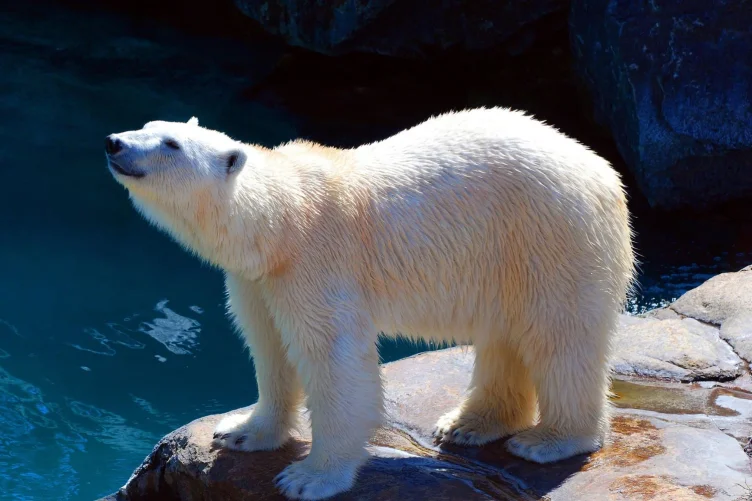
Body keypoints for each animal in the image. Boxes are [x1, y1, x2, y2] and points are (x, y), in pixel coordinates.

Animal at [105, 108, 635, 501]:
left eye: (171, 145)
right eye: (148, 126)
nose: (114, 142)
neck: (281, 221)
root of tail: (604, 172)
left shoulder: (317, 264)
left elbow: (334, 361)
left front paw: (309, 477)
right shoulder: (259, 280)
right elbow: (270, 347)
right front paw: (240, 431)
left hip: (551, 235)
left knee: (559, 336)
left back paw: (549, 441)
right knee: (504, 336)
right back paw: (468, 425)